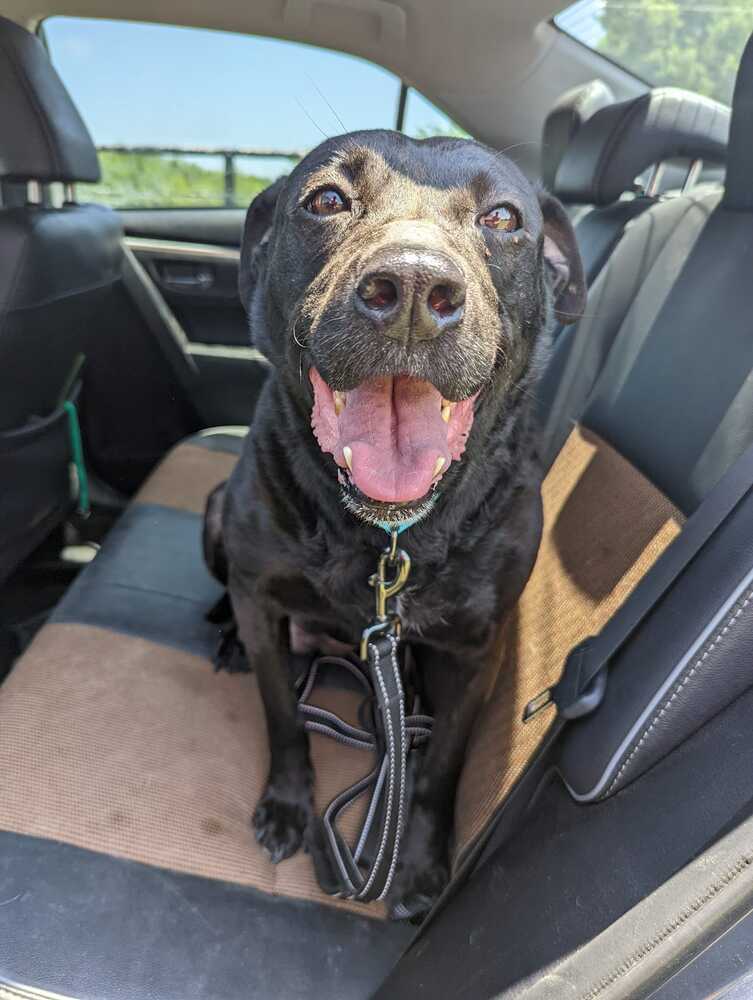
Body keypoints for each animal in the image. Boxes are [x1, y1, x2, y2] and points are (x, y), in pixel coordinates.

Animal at [207, 133, 588, 920]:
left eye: (503, 218)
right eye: (326, 199)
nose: (412, 287)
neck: (387, 538)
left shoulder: (476, 650)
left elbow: (443, 763)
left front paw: (416, 864)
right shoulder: (260, 596)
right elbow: (281, 713)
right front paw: (287, 805)